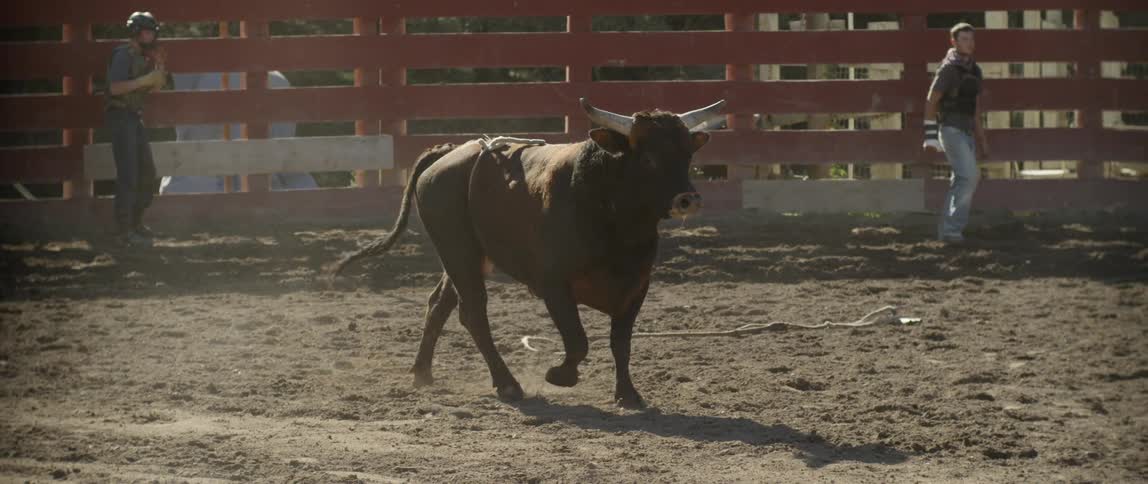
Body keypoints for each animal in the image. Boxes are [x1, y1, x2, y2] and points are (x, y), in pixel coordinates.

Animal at [331, 98, 726, 408]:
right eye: (648, 158)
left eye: (687, 154)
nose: (688, 199)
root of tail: (447, 154)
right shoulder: (553, 285)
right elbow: (578, 340)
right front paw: (559, 375)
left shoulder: (635, 287)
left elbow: (621, 343)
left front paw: (628, 394)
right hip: (458, 252)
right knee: (472, 313)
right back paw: (507, 384)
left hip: (466, 256)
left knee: (439, 304)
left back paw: (423, 372)